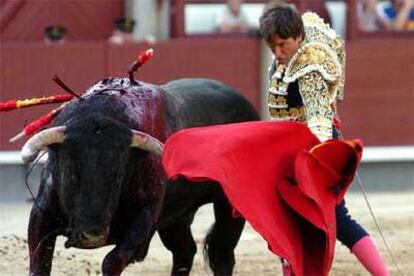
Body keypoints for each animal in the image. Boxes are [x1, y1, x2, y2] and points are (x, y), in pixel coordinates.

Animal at [24, 77, 258, 276]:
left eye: (118, 176)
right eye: (71, 172)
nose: (91, 236)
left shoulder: (145, 218)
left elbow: (111, 261)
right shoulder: (41, 213)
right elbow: (39, 262)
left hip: (230, 205)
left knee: (223, 255)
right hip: (176, 216)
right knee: (184, 252)